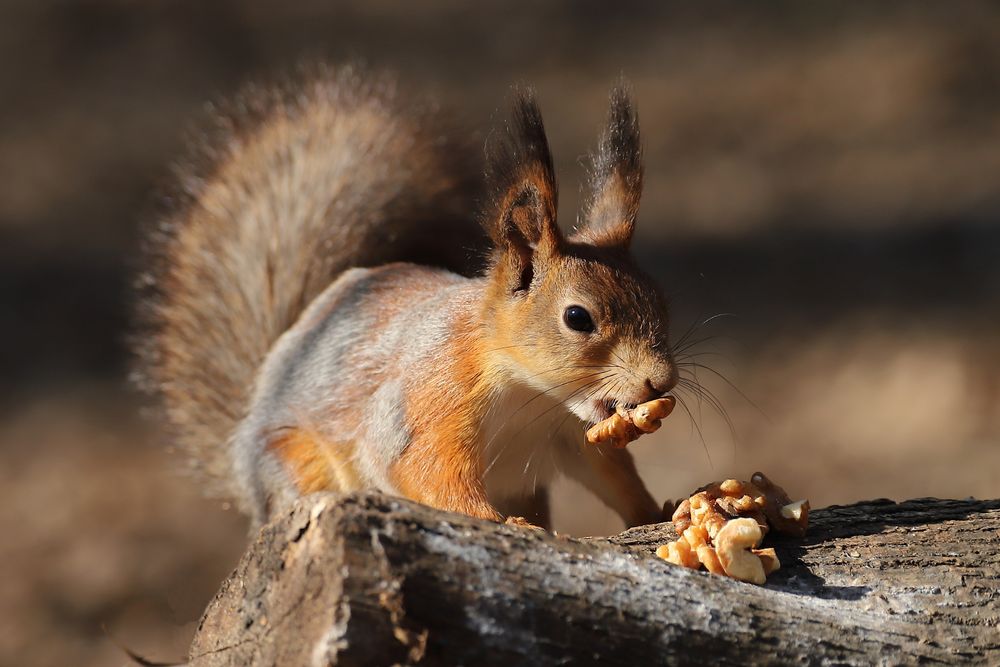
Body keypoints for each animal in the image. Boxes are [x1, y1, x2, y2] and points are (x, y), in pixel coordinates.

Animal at [135, 64, 680, 532]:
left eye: (661, 300)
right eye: (577, 317)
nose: (661, 381)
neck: (532, 396)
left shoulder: (574, 435)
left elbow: (612, 473)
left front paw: (660, 510)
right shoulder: (430, 399)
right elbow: (422, 468)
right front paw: (501, 523)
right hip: (299, 464)